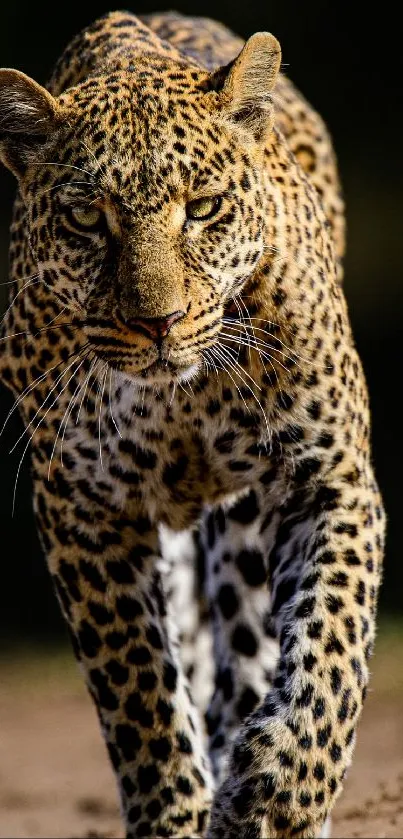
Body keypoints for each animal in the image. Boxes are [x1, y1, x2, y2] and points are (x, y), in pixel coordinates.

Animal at [0, 11, 386, 839]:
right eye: (86, 218)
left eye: (203, 207)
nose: (159, 322)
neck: (178, 398)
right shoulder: (84, 509)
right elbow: (138, 689)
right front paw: (172, 812)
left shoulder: (327, 477)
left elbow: (330, 645)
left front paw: (285, 788)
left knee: (246, 656)